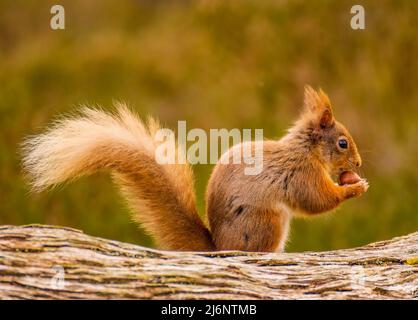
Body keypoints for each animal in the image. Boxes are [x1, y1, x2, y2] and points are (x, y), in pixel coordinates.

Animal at [23, 85, 370, 252]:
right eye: (342, 143)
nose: (358, 164)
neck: (306, 149)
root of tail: (219, 247)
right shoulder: (301, 174)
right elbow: (317, 201)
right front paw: (354, 188)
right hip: (267, 222)